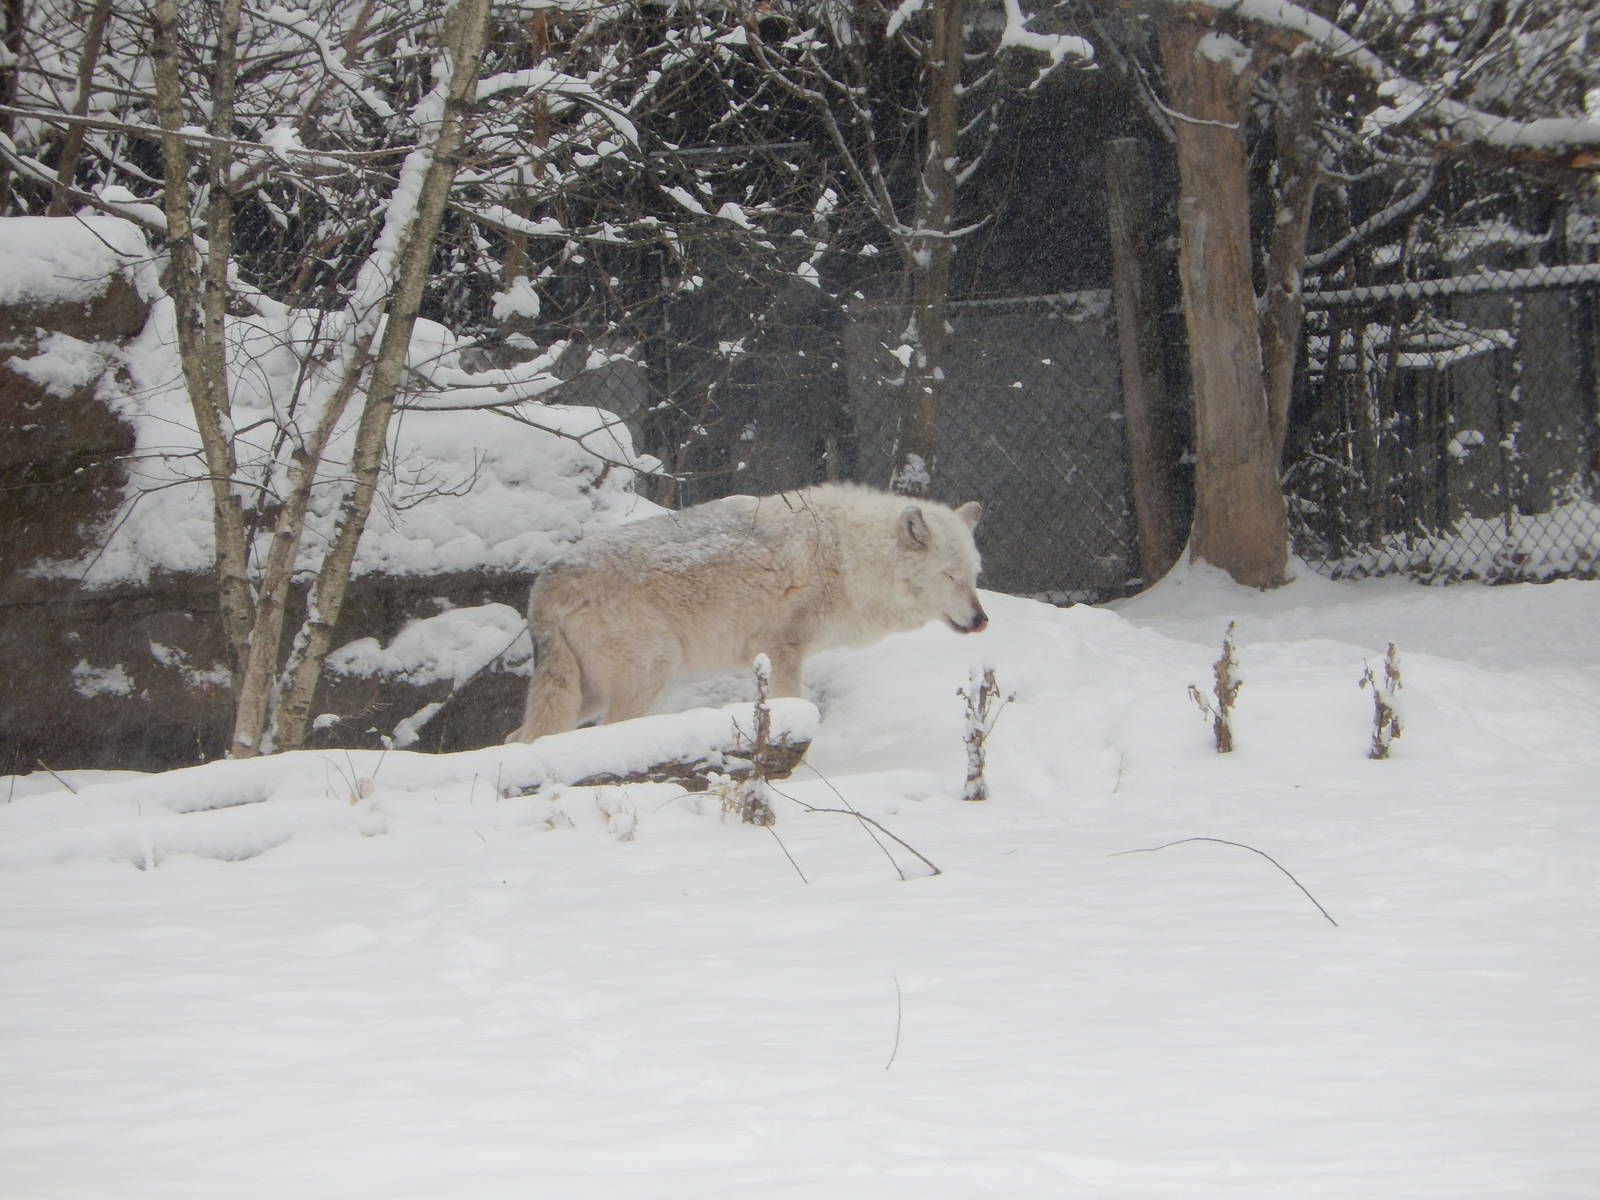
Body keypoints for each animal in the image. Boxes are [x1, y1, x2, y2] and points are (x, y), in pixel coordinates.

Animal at [505, 483, 987, 741]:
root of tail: (545, 581)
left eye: (973, 575)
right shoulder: (784, 650)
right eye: (949, 576)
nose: (982, 620)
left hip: (587, 693)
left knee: (519, 737)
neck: (850, 555)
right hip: (649, 676)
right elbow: (794, 704)